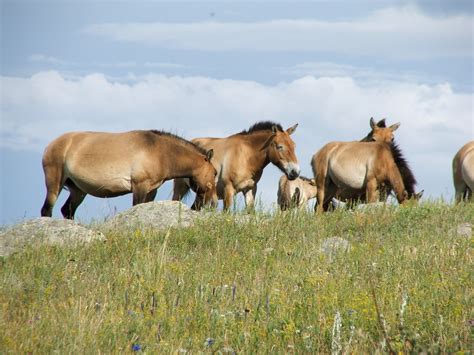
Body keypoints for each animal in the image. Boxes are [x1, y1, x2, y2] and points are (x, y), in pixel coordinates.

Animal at [40, 131, 218, 220]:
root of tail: (51, 145)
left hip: (78, 190)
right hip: (54, 184)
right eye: (215, 173)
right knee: (47, 210)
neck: (161, 152)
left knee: (67, 211)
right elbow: (136, 208)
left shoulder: (151, 190)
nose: (213, 202)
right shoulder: (139, 186)